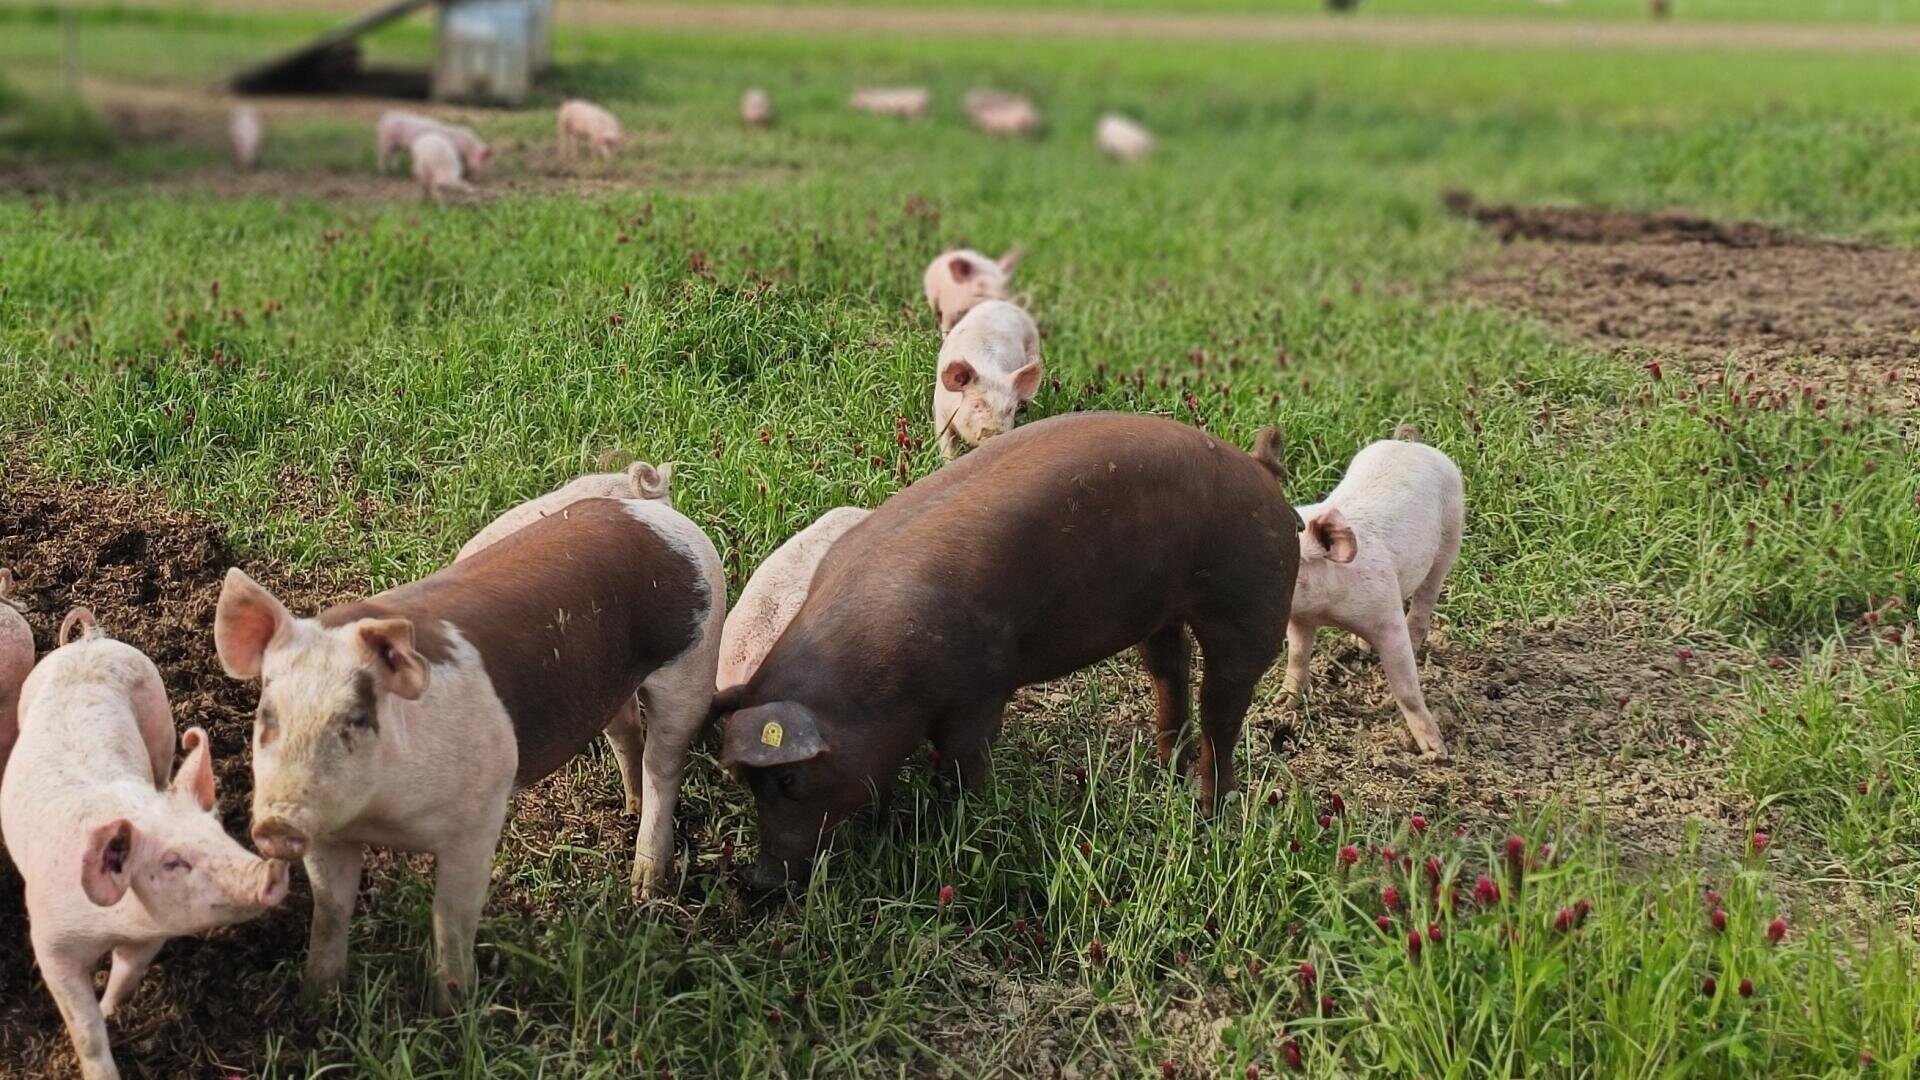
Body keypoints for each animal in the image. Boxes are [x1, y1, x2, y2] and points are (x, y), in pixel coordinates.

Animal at [2, 610, 288, 1080]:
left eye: (219, 833)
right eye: (172, 863)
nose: (272, 869)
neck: (111, 926)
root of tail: (91, 639)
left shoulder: (152, 933)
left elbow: (127, 973)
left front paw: (112, 1009)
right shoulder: (49, 943)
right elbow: (84, 1026)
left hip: (161, 726)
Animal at [215, 497, 722, 1011]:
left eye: (355, 718)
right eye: (267, 715)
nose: (276, 825)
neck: (381, 817)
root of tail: (651, 510)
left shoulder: (477, 819)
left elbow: (451, 917)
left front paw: (450, 1014)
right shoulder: (327, 834)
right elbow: (331, 910)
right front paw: (315, 1004)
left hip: (692, 666)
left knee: (664, 765)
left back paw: (644, 889)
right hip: (608, 684)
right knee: (625, 731)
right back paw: (629, 810)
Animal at [932, 299, 1043, 459]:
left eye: (1009, 409)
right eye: (977, 405)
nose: (995, 435)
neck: (988, 371)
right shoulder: (940, 410)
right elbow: (946, 442)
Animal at [1284, 433, 1463, 759]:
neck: (1328, 610)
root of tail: (1411, 444)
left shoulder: (1386, 612)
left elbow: (1406, 687)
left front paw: (1436, 752)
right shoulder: (1300, 617)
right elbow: (1298, 655)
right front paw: (1284, 702)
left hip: (1451, 536)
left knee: (1426, 596)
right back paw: (1361, 644)